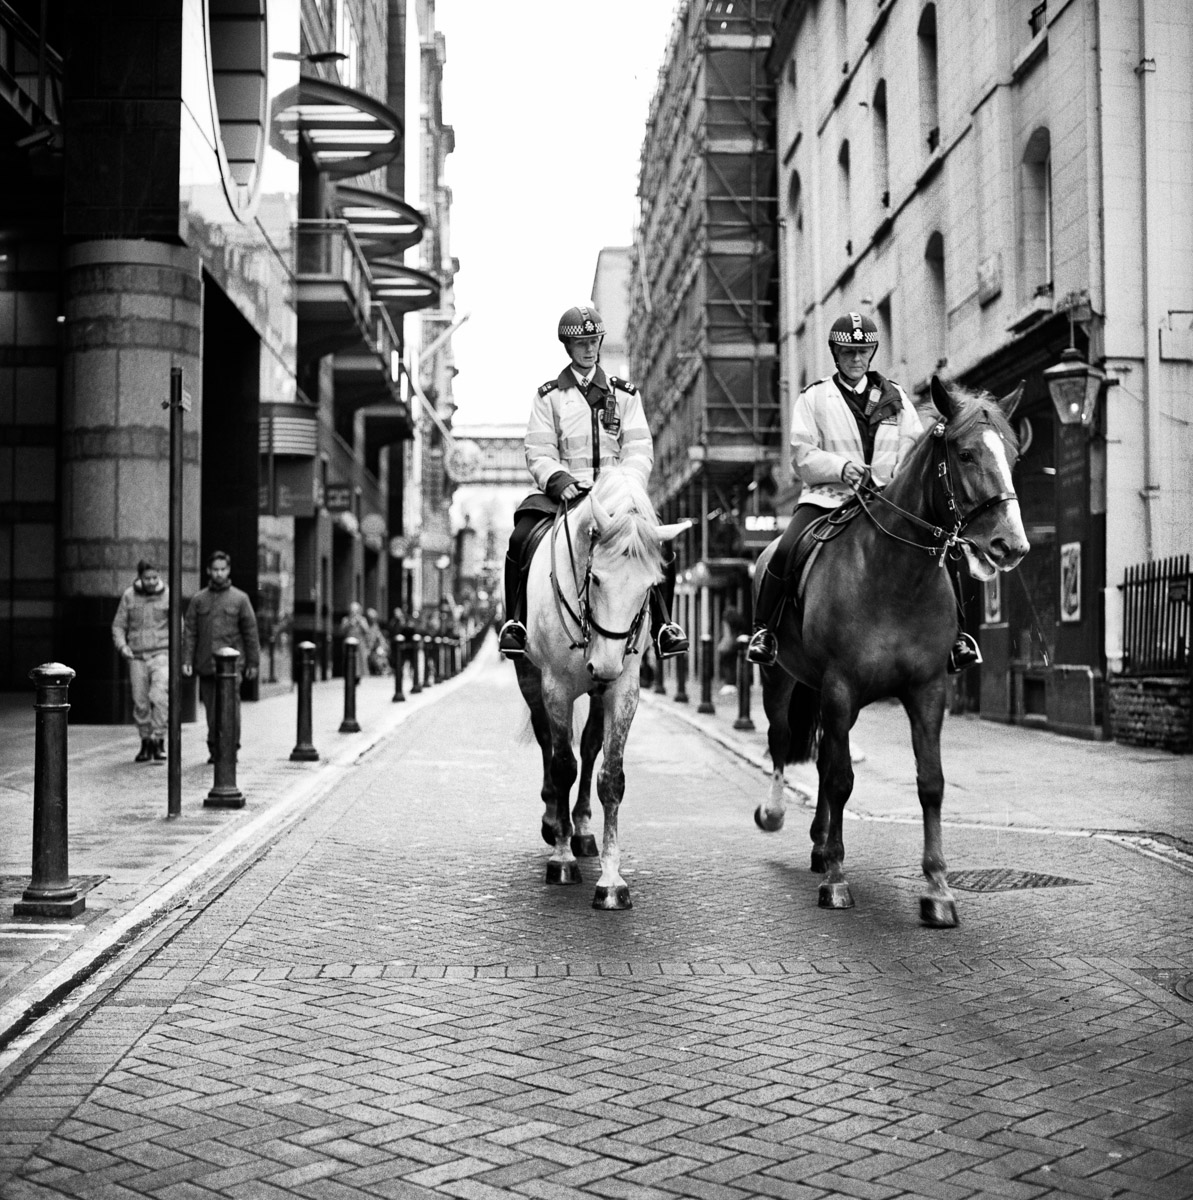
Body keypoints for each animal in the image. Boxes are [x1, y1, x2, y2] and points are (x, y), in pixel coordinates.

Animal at [511, 465, 686, 907]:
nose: (605, 664)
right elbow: (562, 765)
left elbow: (611, 776)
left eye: (650, 586)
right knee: (547, 742)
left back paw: (583, 829)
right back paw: (553, 820)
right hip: (529, 676)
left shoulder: (623, 691)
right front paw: (561, 858)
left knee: (589, 748)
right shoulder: (555, 687)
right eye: (596, 579)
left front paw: (610, 879)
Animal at [753, 374, 1022, 926]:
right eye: (965, 453)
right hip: (783, 680)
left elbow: (930, 782)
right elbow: (840, 780)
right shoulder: (840, 686)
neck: (896, 575)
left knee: (822, 755)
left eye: (1013, 453)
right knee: (783, 739)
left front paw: (938, 889)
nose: (1012, 544)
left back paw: (819, 844)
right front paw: (837, 880)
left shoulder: (927, 690)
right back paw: (777, 816)